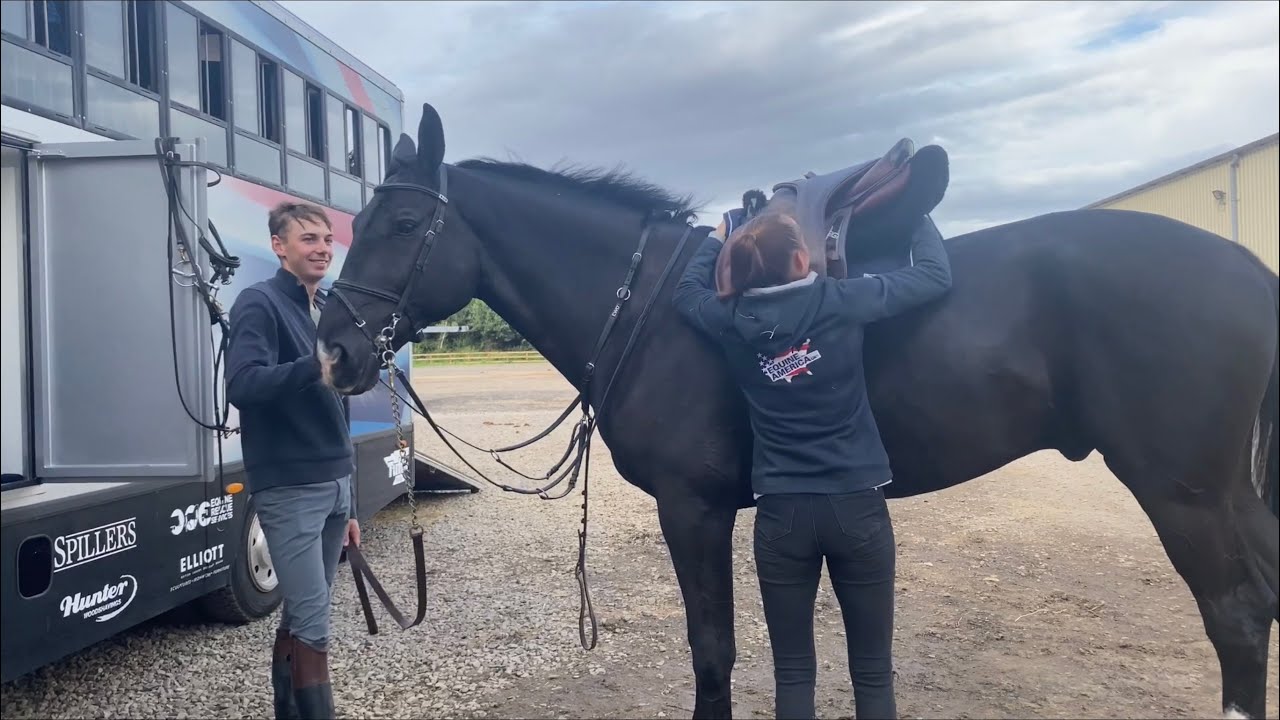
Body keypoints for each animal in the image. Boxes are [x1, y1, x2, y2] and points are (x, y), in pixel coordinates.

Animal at [316, 103, 1279, 719]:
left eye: (402, 223)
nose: (332, 348)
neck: (652, 309)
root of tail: (1250, 270)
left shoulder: (694, 510)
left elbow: (712, 653)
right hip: (1231, 494)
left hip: (1186, 494)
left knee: (1234, 614)